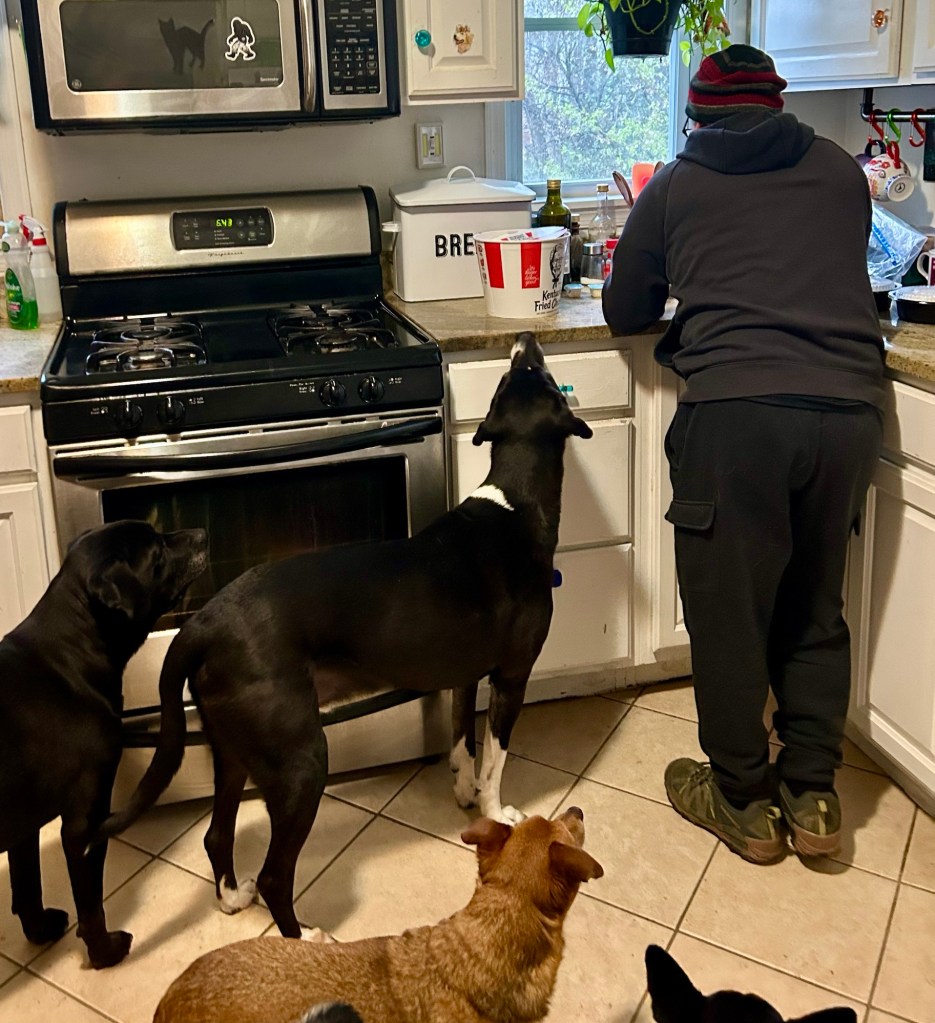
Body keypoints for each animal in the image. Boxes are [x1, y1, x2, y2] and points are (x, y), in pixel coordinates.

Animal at [0, 521, 207, 968]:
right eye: (157, 552)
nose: (202, 534)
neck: (70, 652)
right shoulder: (86, 821)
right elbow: (91, 903)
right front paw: (104, 952)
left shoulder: (25, 825)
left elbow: (28, 885)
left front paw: (39, 931)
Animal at [94, 332, 592, 939]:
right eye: (540, 378)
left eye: (508, 380)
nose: (524, 340)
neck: (514, 500)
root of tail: (201, 623)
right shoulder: (511, 676)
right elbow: (495, 757)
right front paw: (498, 811)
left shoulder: (464, 673)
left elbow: (461, 737)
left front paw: (463, 792)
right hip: (301, 759)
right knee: (275, 873)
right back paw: (303, 933)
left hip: (232, 748)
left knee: (217, 835)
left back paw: (233, 898)